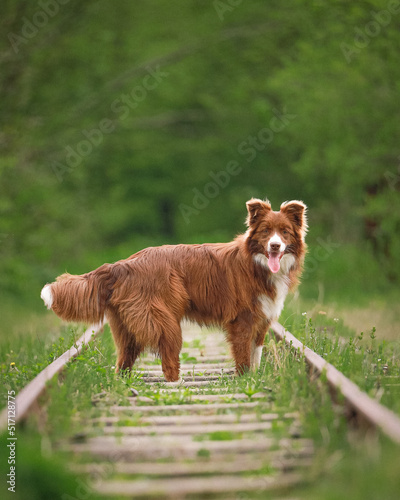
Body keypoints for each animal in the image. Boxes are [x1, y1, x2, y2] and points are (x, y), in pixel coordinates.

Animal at [41, 197, 306, 380]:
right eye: (265, 231)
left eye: (284, 232)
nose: (274, 246)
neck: (257, 263)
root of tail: (122, 264)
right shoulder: (241, 318)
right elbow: (243, 352)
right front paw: (244, 378)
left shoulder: (263, 317)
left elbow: (256, 351)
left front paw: (256, 376)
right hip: (164, 320)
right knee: (167, 354)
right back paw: (175, 381)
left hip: (125, 324)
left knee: (124, 358)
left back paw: (122, 381)